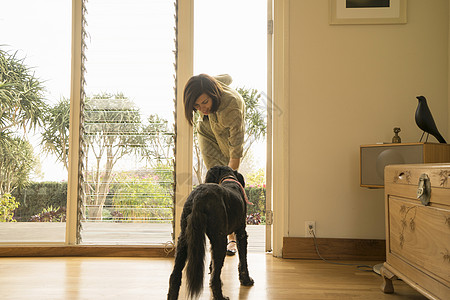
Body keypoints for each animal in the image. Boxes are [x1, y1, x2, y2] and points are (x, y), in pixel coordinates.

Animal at [168, 165, 255, 298]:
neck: (228, 177)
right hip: (220, 240)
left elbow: (212, 262)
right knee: (215, 277)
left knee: (174, 275)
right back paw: (221, 296)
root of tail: (199, 197)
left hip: (184, 240)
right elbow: (243, 260)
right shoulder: (241, 232)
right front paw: (246, 280)